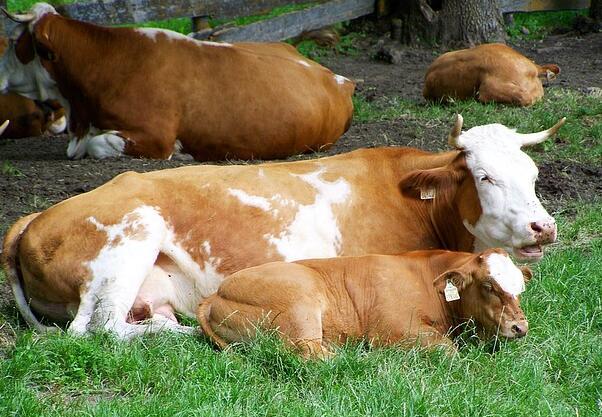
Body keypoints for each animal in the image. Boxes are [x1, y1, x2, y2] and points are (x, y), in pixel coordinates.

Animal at [2, 114, 560, 338]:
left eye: (533, 174)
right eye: (485, 177)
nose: (543, 227)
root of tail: (34, 216)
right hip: (129, 238)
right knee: (94, 329)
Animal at [197, 247, 528, 358]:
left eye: (521, 288)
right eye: (488, 285)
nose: (520, 327)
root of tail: (215, 293)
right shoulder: (395, 331)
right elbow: (449, 351)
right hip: (301, 304)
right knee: (313, 356)